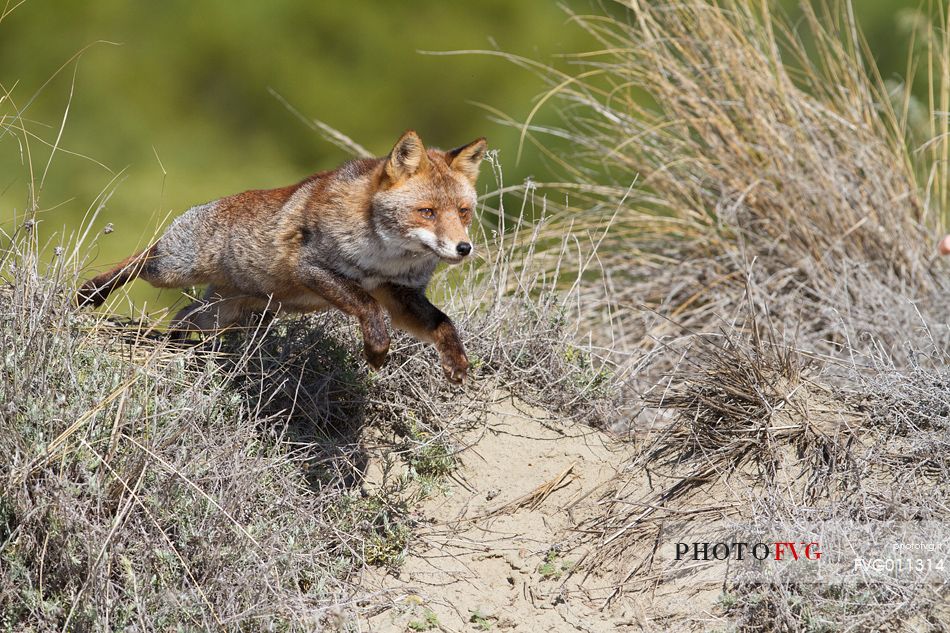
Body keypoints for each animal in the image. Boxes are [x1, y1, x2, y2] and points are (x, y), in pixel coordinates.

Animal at [78, 131, 488, 382]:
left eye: (463, 212)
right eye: (427, 212)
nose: (463, 248)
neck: (386, 257)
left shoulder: (401, 294)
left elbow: (443, 323)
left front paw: (456, 362)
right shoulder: (313, 268)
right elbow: (369, 308)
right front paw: (375, 352)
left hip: (224, 315)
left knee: (183, 318)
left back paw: (176, 343)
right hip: (173, 268)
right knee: (140, 259)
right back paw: (92, 292)